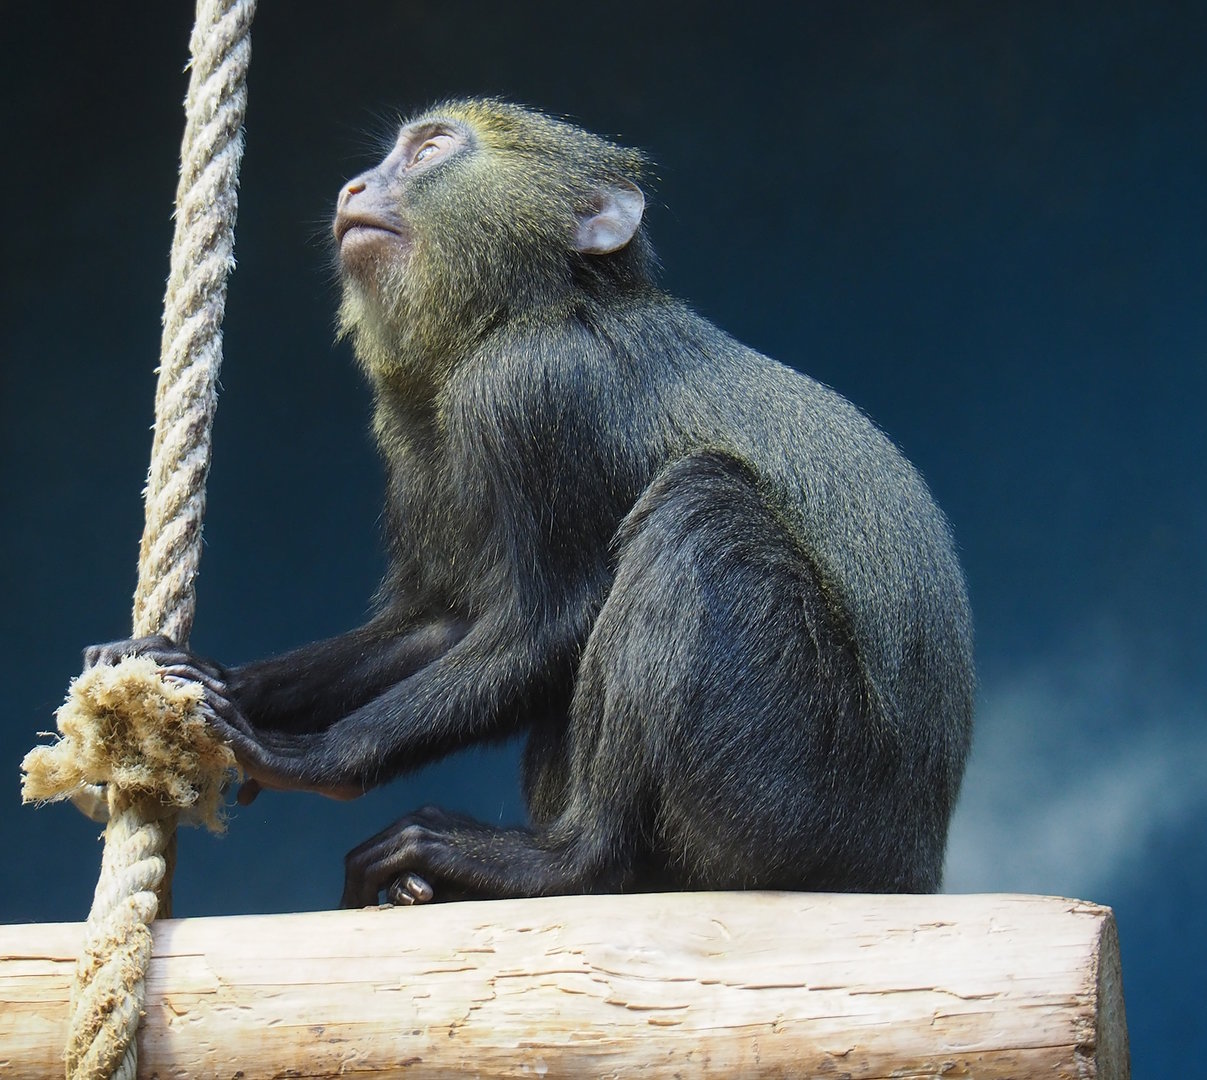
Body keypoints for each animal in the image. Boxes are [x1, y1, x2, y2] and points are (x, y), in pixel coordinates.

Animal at [86, 99, 974, 908]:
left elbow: (551, 621)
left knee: (700, 507)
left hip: (794, 800)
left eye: (431, 150)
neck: (517, 310)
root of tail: (906, 862)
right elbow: (450, 622)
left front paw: (309, 757)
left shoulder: (531, 388)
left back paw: (565, 863)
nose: (355, 186)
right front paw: (203, 673)